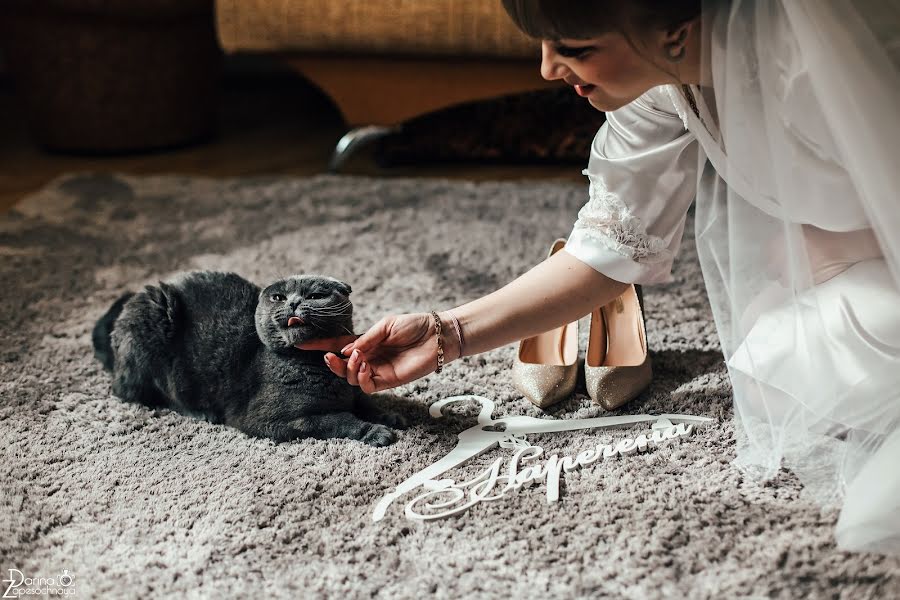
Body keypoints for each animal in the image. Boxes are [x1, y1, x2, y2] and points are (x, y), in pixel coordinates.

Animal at [92, 272, 404, 446]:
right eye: (278, 297)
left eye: (316, 295)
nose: (294, 302)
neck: (316, 364)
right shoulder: (271, 420)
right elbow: (338, 419)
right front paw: (375, 431)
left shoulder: (354, 390)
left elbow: (366, 402)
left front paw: (390, 415)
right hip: (153, 317)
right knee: (139, 392)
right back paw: (202, 412)